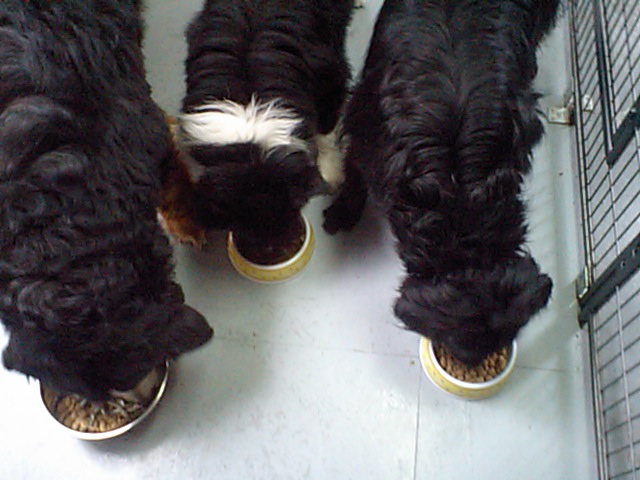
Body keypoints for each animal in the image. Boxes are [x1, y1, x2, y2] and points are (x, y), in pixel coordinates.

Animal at [174, 0, 355, 250]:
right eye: (239, 219)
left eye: (294, 204)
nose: (273, 245)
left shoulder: (330, 77)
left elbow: (326, 130)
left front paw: (330, 172)